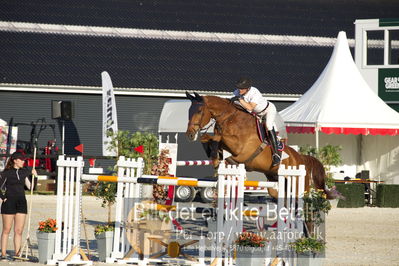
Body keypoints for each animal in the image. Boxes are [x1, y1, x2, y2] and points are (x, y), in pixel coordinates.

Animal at [185, 92, 340, 200]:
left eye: (199, 111)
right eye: (189, 111)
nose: (190, 134)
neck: (230, 118)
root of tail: (301, 158)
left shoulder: (240, 148)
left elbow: (217, 137)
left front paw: (217, 158)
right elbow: (208, 139)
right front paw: (215, 158)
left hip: (298, 182)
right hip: (275, 180)